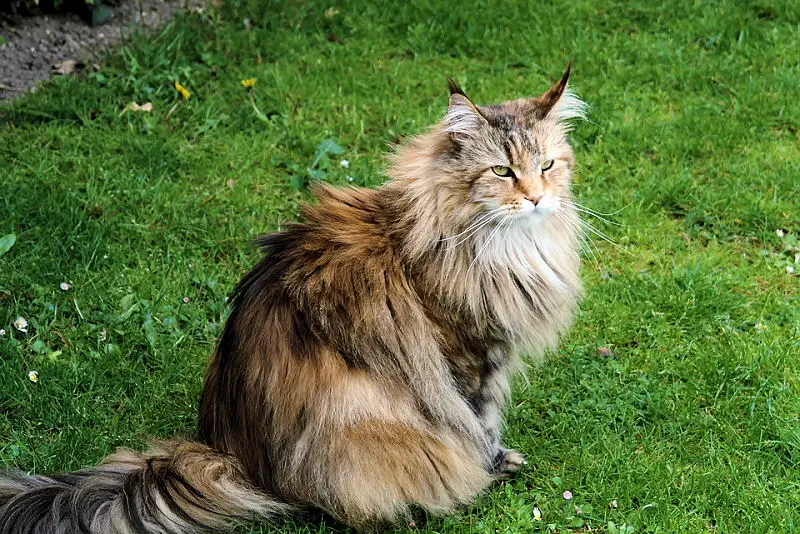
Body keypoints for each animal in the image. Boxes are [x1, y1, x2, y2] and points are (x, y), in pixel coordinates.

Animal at [0, 67, 588, 534]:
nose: (537, 198)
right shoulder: (467, 357)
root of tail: (231, 454)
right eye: (502, 171)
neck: (499, 249)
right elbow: (477, 424)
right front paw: (493, 467)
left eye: (547, 165)